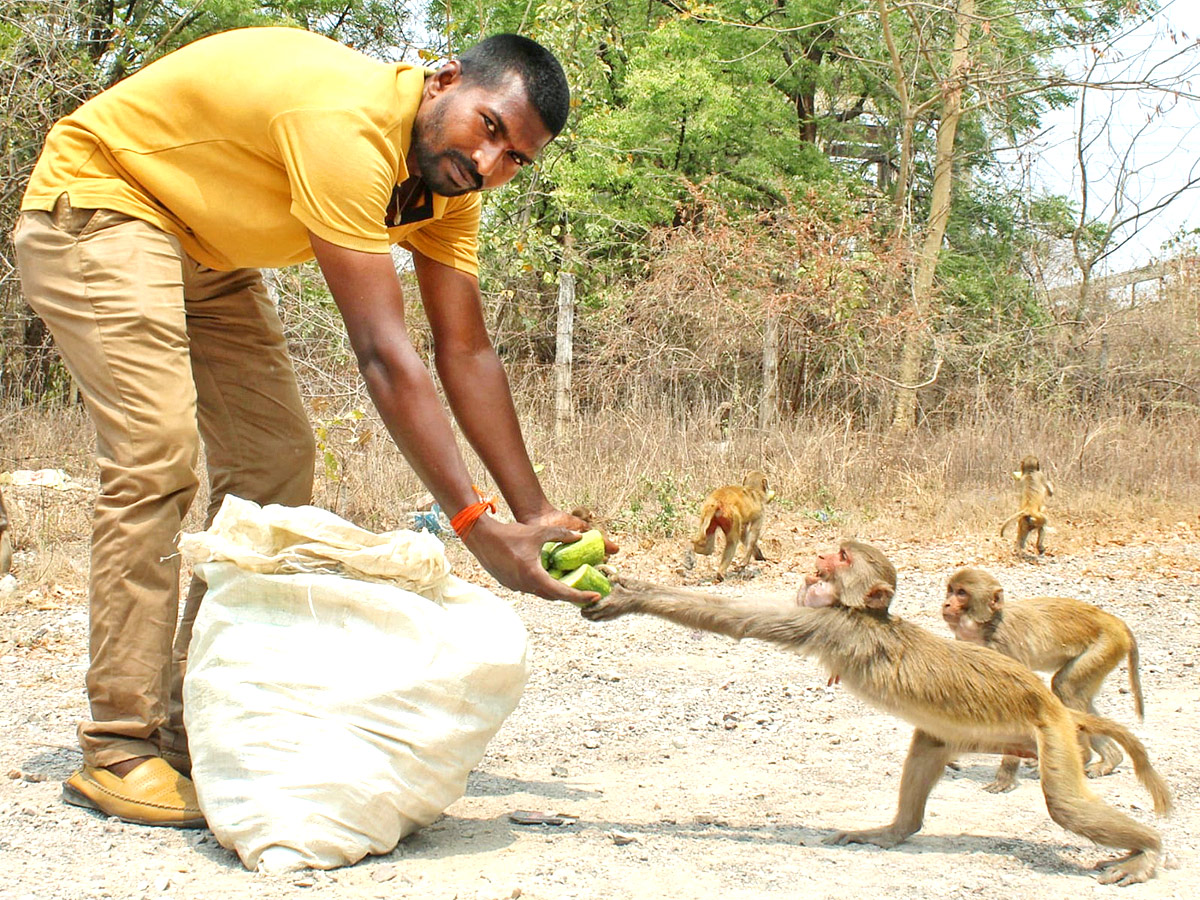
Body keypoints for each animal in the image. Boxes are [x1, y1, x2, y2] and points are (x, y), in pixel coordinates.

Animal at [945, 566, 1142, 792]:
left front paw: (1005, 777)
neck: (987, 626)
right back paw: (1111, 759)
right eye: (950, 590)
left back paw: (1083, 756)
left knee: (1065, 688)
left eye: (962, 593)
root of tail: (1114, 621)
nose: (947, 603)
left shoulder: (1005, 646)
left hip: (1105, 646)